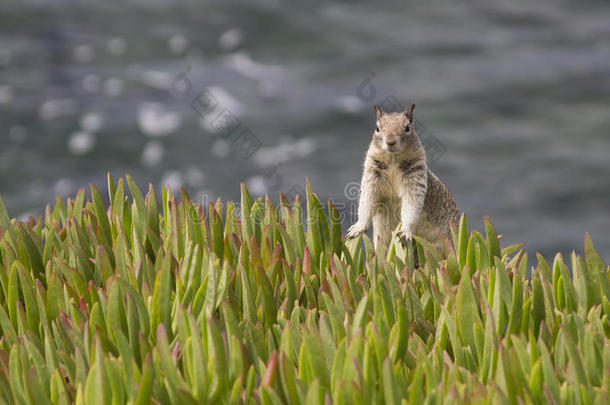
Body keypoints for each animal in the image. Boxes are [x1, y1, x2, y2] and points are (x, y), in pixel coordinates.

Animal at [346, 102, 456, 251]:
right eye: (377, 128)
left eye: (407, 127)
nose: (390, 141)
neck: (393, 162)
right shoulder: (371, 176)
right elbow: (367, 200)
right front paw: (358, 227)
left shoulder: (415, 178)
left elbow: (412, 204)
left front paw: (405, 230)